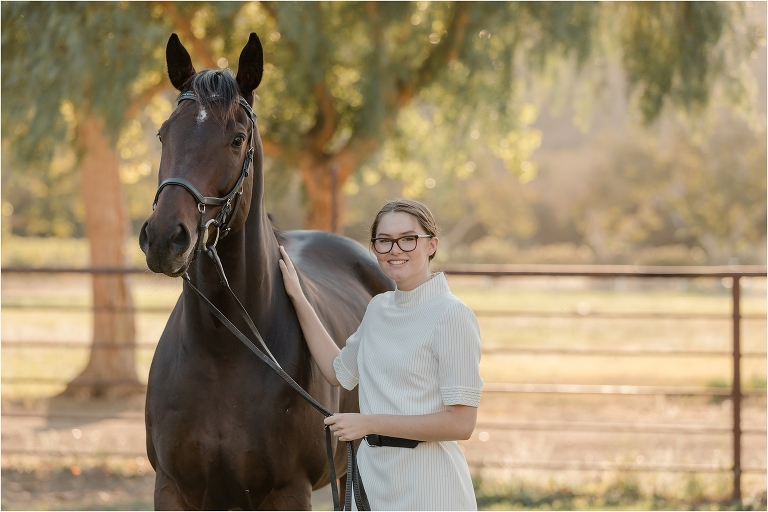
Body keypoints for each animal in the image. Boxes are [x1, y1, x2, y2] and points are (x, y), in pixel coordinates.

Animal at [139, 32, 392, 510]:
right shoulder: (174, 487)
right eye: (164, 134)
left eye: (237, 139)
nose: (164, 239)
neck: (222, 350)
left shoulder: (287, 491)